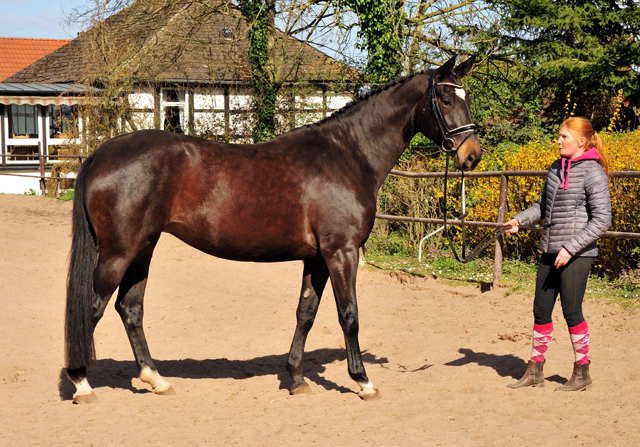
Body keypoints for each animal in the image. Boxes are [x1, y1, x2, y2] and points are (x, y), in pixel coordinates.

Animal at [65, 55, 480, 402]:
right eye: (445, 99)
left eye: (467, 96)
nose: (472, 155)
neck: (348, 155)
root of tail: (100, 154)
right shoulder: (341, 253)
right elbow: (349, 315)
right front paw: (363, 381)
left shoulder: (317, 259)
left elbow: (306, 313)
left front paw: (296, 378)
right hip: (119, 252)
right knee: (94, 306)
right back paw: (82, 382)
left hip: (143, 248)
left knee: (129, 308)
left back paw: (155, 379)